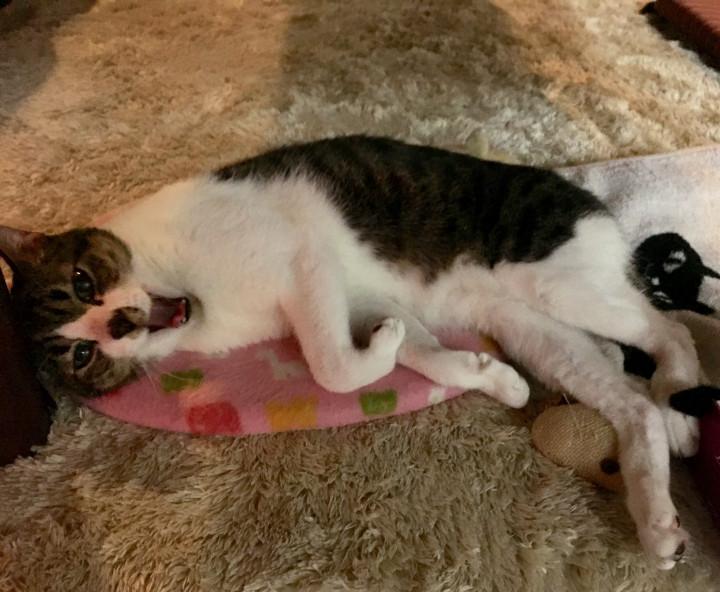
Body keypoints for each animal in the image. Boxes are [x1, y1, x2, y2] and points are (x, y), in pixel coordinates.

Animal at [0, 135, 715, 569]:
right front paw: (488, 377)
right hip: (531, 327)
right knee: (629, 402)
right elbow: (415, 352)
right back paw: (659, 516)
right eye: (80, 357)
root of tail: (588, 200)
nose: (118, 324)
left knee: (667, 328)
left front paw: (388, 355)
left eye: (82, 282)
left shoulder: (308, 264)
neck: (194, 302)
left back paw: (680, 400)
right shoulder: (364, 298)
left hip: (556, 282)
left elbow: (331, 366)